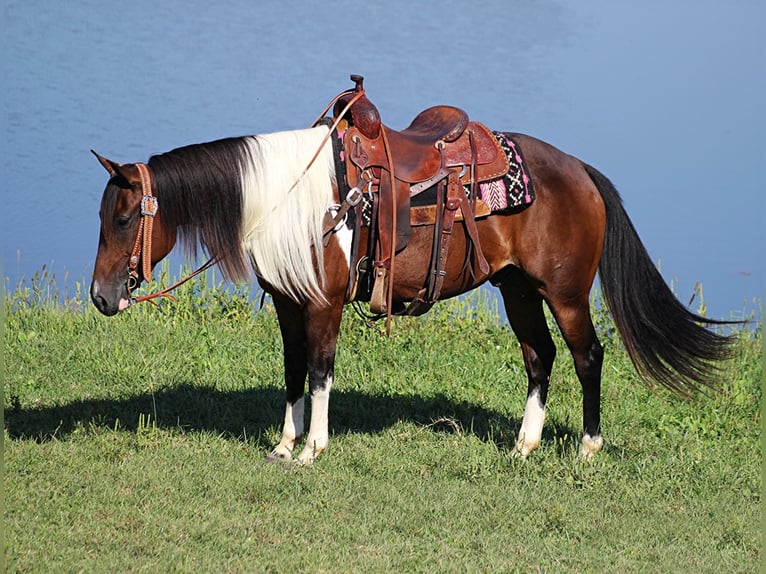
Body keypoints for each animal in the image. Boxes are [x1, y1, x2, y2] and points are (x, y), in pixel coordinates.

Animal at [93, 77, 736, 464]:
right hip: (517, 288)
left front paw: (313, 449)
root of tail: (580, 169)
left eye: (123, 218)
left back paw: (586, 449)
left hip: (566, 291)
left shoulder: (323, 304)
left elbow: (321, 372)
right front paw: (283, 444)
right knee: (540, 356)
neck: (291, 197)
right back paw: (523, 446)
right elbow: (294, 372)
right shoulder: (287, 303)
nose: (101, 297)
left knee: (587, 356)